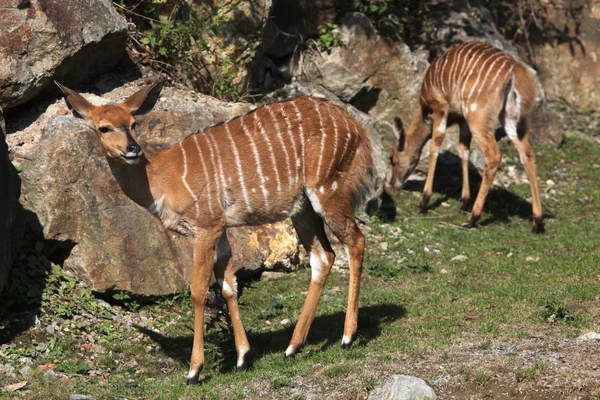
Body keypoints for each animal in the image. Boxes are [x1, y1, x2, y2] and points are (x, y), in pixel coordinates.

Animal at [56, 81, 376, 384]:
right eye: (104, 127)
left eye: (133, 123)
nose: (132, 149)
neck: (163, 177)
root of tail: (357, 129)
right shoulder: (221, 229)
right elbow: (228, 286)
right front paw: (243, 358)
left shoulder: (205, 227)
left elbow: (199, 291)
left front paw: (194, 371)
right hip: (302, 208)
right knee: (324, 257)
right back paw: (292, 347)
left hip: (328, 190)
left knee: (356, 241)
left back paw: (347, 337)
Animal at [390, 41, 544, 231]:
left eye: (392, 159)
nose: (393, 183)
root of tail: (516, 73)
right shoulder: (462, 120)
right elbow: (463, 150)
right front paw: (464, 202)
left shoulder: (440, 108)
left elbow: (435, 146)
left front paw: (424, 202)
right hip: (509, 118)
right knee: (527, 153)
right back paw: (537, 222)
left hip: (477, 115)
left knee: (493, 155)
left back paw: (473, 219)